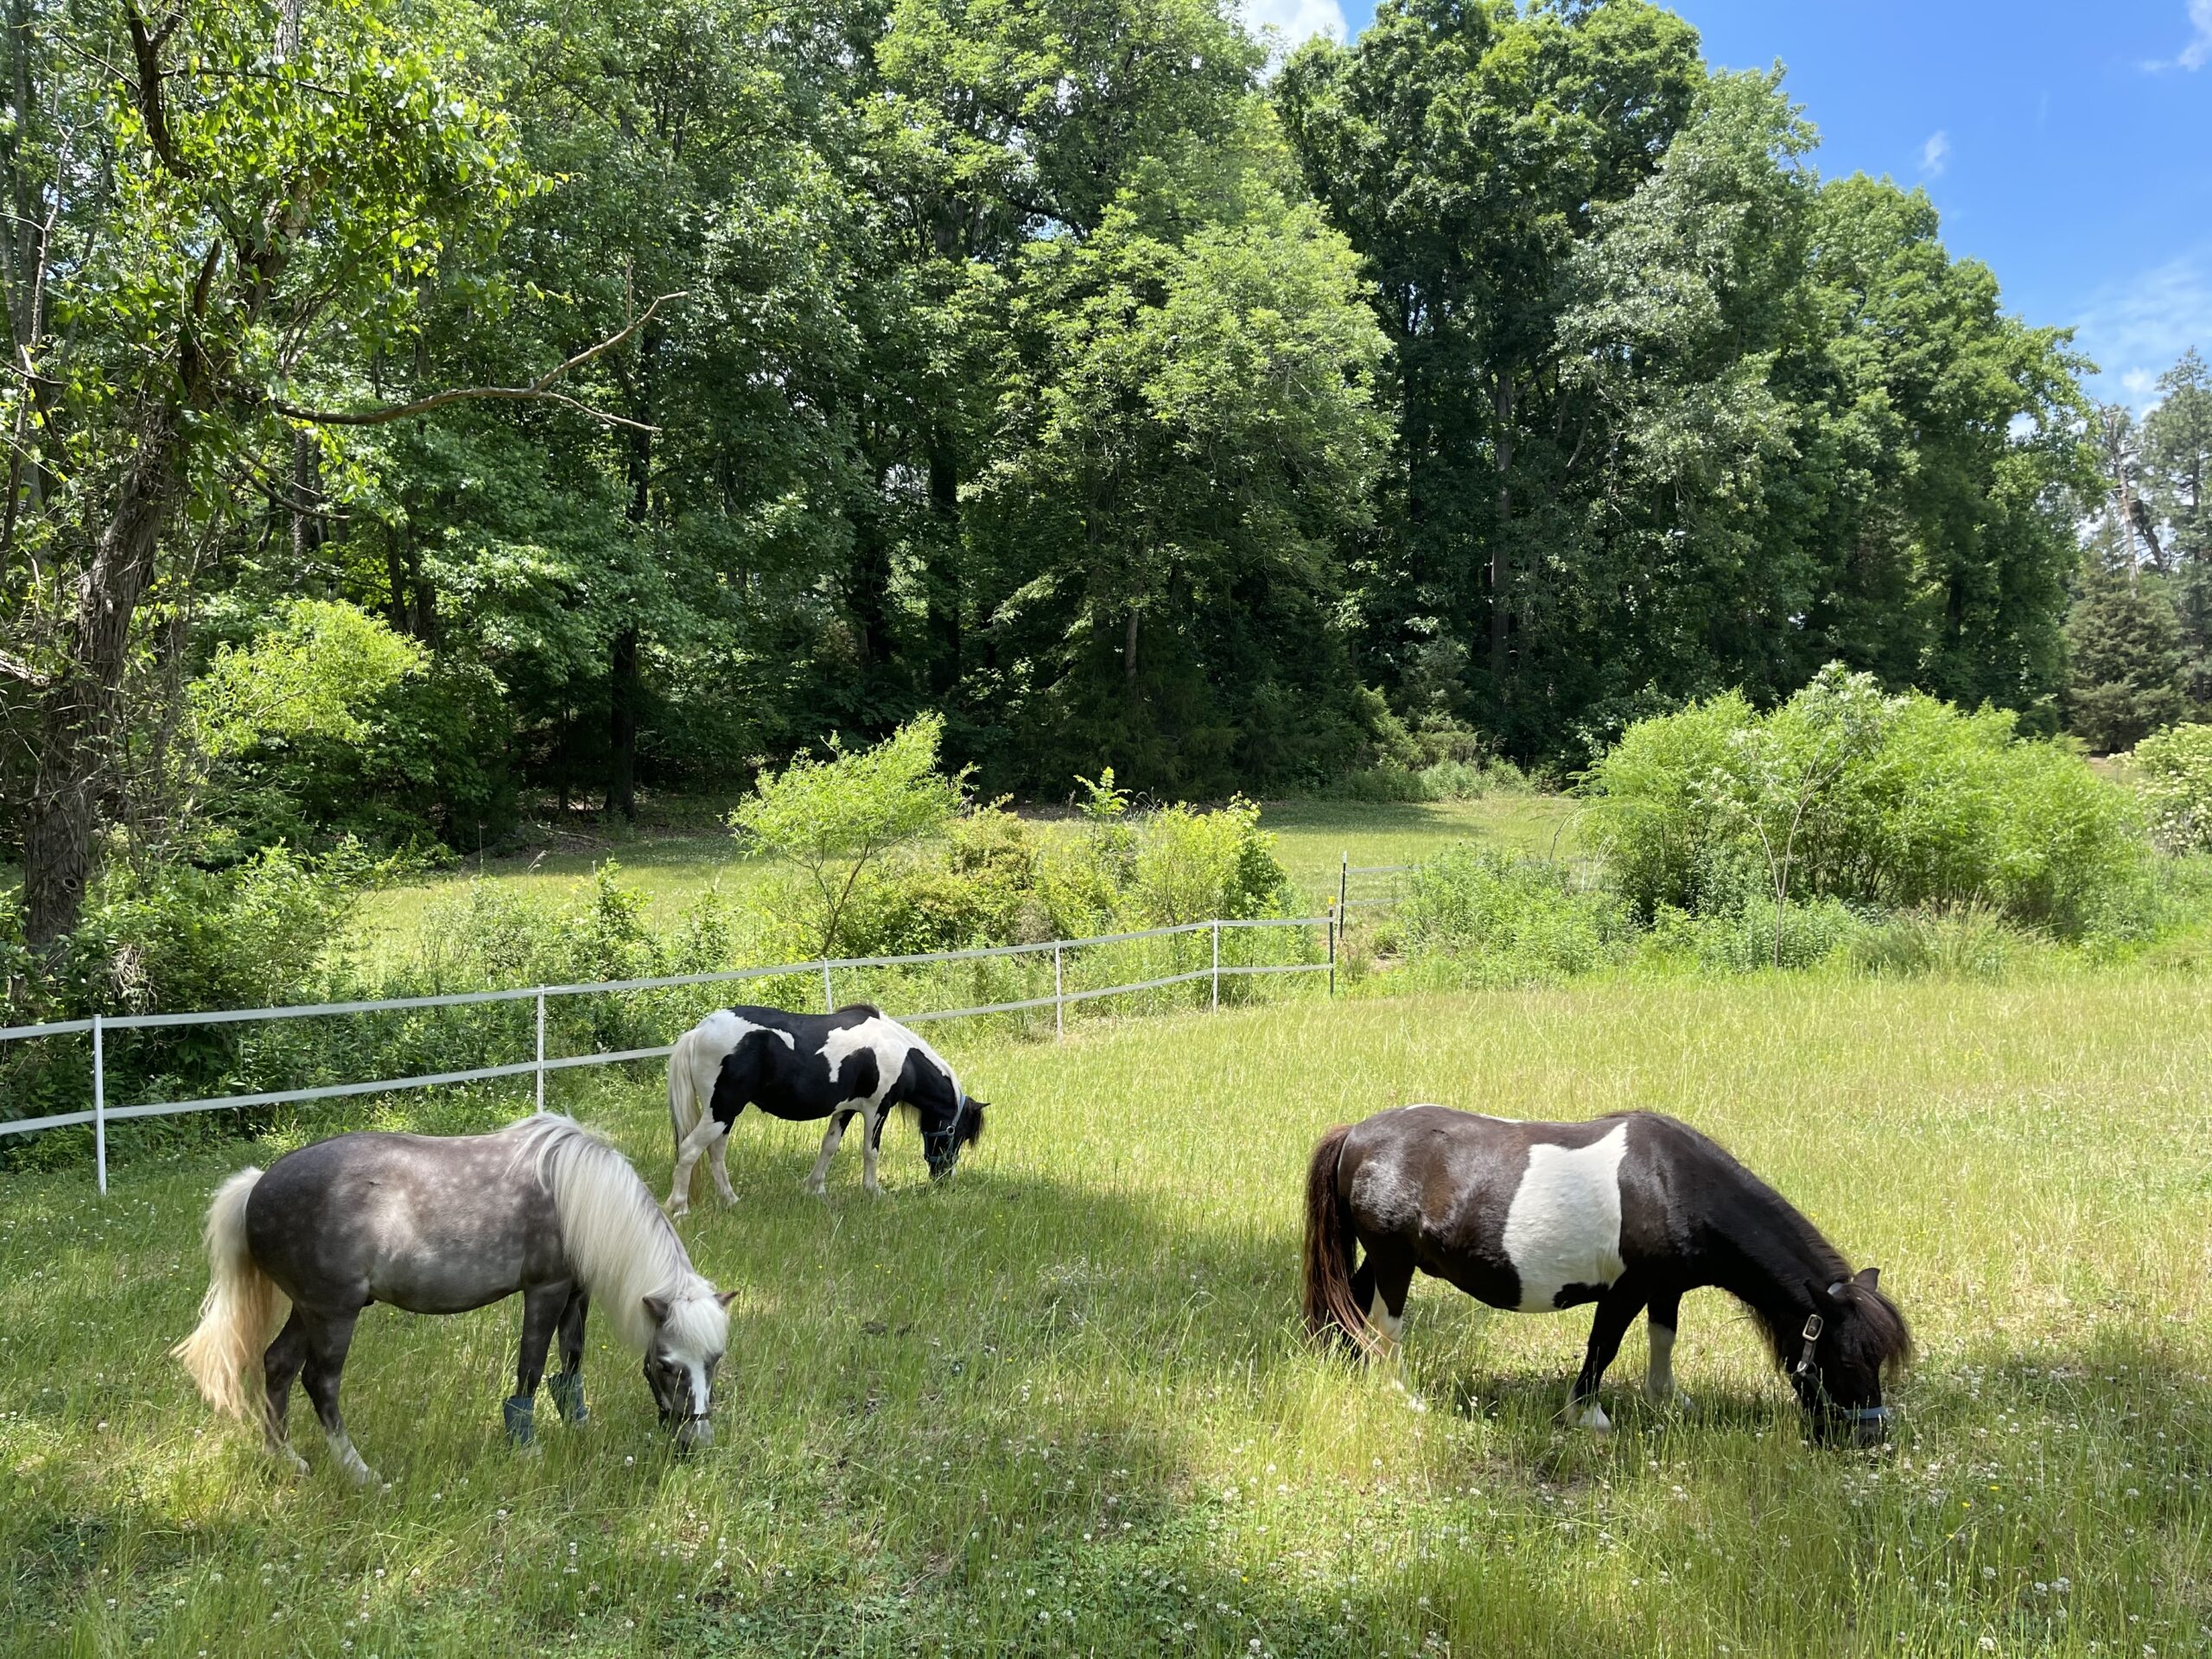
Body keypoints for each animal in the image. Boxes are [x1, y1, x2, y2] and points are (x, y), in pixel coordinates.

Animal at [172, 1119, 739, 1478]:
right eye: (666, 1366)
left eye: (714, 1360)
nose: (696, 1444)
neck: (575, 1191)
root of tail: (255, 1187)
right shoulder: (546, 1290)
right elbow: (531, 1367)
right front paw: (525, 1447)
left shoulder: (576, 1291)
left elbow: (572, 1360)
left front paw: (577, 1425)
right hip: (333, 1315)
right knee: (320, 1383)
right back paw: (360, 1472)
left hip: (307, 1311)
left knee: (278, 1366)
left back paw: (284, 1459)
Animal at [658, 1000, 990, 1221]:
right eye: (958, 1134)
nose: (944, 1178)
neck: (899, 1053)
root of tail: (698, 1032)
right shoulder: (876, 1109)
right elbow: (870, 1152)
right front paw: (873, 1191)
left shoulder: (845, 1110)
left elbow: (829, 1147)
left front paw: (815, 1188)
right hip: (722, 1111)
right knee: (690, 1150)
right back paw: (679, 1208)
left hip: (724, 1115)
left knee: (715, 1154)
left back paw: (731, 1200)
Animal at [1300, 1110, 1910, 1451]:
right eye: (1846, 1359)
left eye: (1879, 1359)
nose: (1871, 1439)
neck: (1672, 1183)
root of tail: (1356, 1134)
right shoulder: (1627, 1290)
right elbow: (1605, 1346)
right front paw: (1588, 1415)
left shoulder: (1666, 1289)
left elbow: (1663, 1340)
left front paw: (1668, 1401)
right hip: (1393, 1262)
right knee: (1386, 1327)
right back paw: (1400, 1395)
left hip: (1381, 1260)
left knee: (1351, 1307)